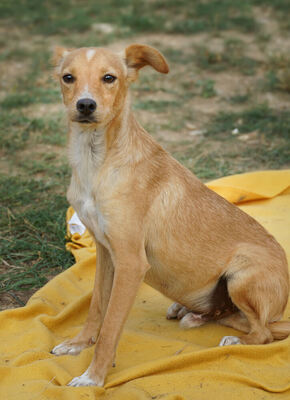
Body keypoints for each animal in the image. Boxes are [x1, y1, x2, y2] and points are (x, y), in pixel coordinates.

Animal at [50, 44, 290, 388]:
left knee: (263, 333)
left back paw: (234, 340)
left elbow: (110, 328)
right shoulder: (107, 253)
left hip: (244, 274)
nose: (85, 105)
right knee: (237, 318)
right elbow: (96, 308)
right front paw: (78, 344)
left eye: (109, 78)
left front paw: (92, 378)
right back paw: (192, 312)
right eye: (68, 77)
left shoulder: (131, 263)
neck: (96, 160)